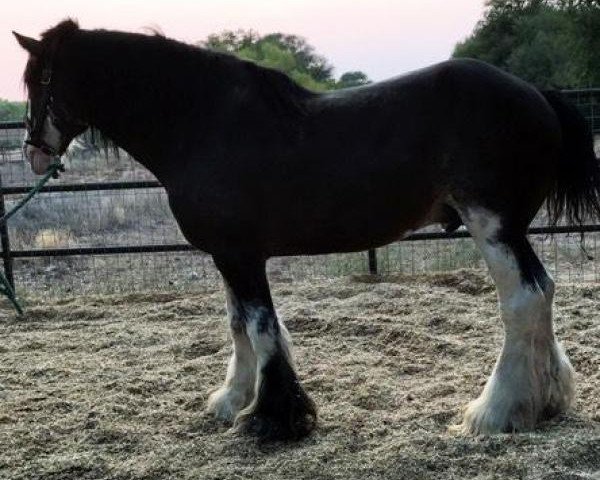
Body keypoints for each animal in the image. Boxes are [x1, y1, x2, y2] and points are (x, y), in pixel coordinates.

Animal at [14, 19, 600, 438]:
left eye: (38, 80)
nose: (32, 152)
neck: (201, 123)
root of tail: (539, 95)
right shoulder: (227, 255)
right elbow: (237, 325)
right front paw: (234, 401)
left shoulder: (242, 255)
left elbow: (260, 328)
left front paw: (271, 418)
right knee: (542, 293)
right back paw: (543, 402)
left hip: (493, 226)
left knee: (523, 299)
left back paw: (493, 412)